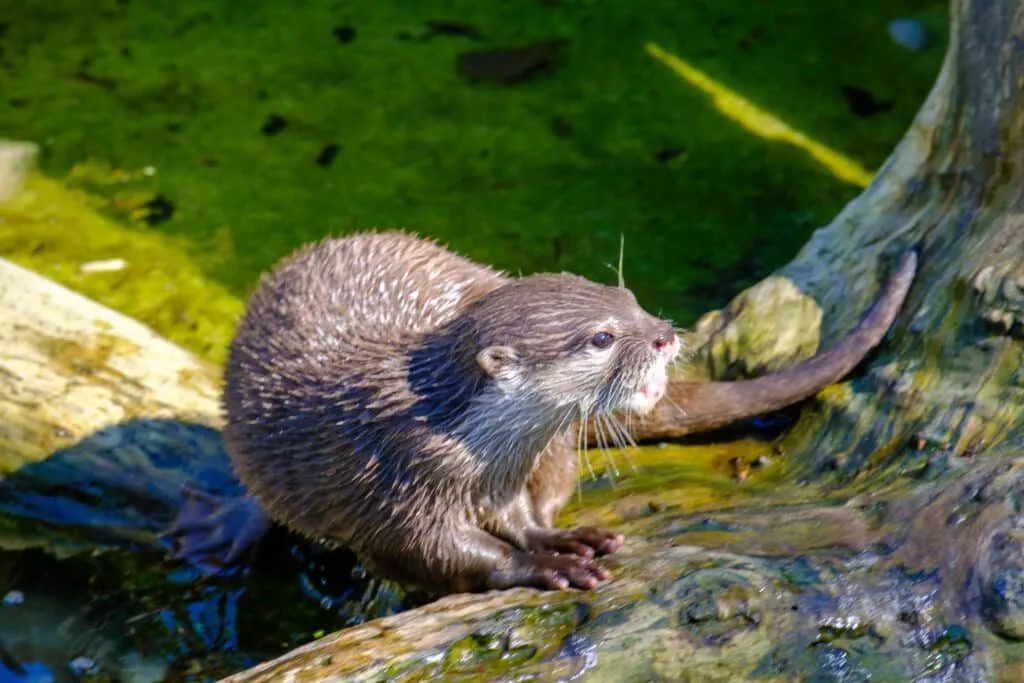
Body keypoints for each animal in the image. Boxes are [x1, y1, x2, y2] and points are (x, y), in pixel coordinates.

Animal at [165, 231, 917, 595]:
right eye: (602, 337)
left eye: (630, 298)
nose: (664, 334)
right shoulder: (393, 484)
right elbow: (432, 552)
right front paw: (538, 568)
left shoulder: (508, 470)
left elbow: (520, 517)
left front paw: (558, 542)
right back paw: (221, 528)